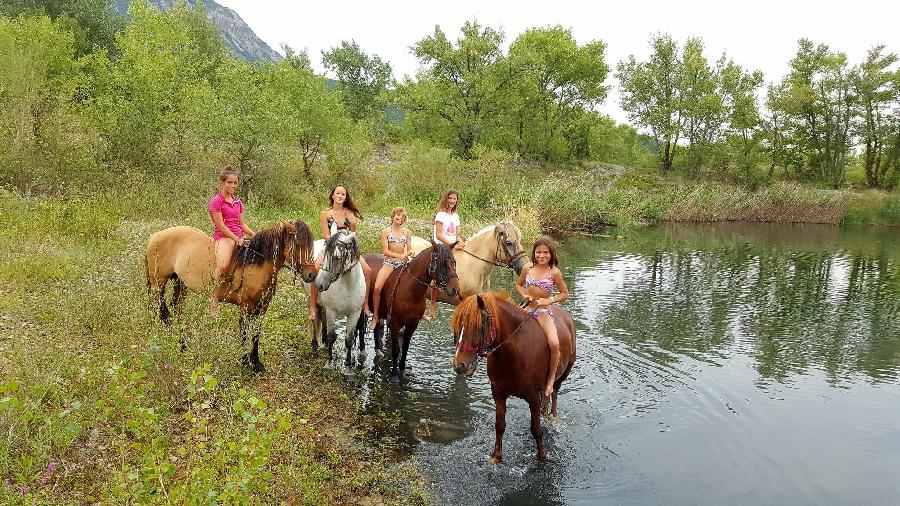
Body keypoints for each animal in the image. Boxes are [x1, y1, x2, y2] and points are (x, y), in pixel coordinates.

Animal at [145, 220, 316, 372]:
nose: (311, 274)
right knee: (163, 310)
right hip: (158, 284)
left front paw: (256, 363)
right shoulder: (245, 306)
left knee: (176, 309)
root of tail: (155, 236)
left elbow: (256, 333)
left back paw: (182, 343)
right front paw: (245, 362)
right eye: (298, 244)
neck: (256, 264)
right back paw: (177, 339)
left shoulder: (263, 307)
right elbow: (245, 332)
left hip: (180, 283)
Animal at [360, 241, 460, 376]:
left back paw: (378, 350)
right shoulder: (395, 323)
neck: (410, 290)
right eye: (441, 263)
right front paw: (394, 373)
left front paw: (402, 369)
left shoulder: (412, 324)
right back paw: (362, 351)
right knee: (360, 329)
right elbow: (396, 350)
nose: (455, 289)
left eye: (454, 262)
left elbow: (405, 349)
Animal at [450, 292, 576, 462]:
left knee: (555, 391)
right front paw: (496, 456)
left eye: (477, 327)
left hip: (564, 372)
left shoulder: (533, 397)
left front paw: (541, 456)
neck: (514, 353)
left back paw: (552, 416)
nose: (459, 365)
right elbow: (500, 425)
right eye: (457, 327)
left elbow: (536, 429)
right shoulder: (498, 393)